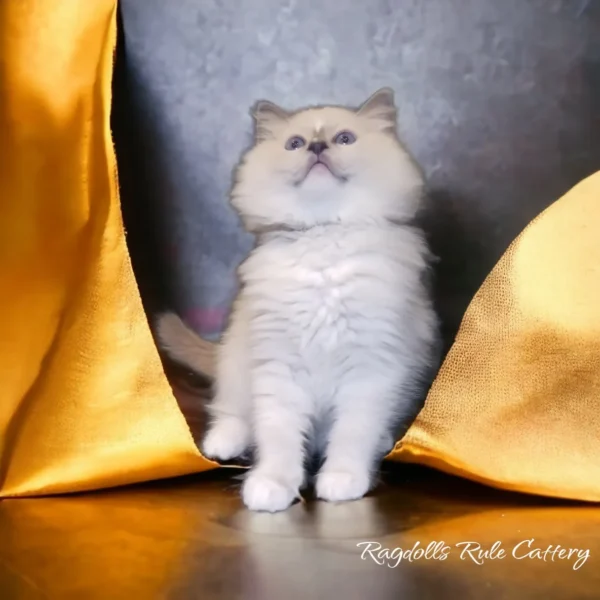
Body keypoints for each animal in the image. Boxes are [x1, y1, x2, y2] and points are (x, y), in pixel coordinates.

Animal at [158, 88, 440, 510]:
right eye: (295, 144)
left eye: (344, 139)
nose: (318, 146)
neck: (322, 240)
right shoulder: (279, 367)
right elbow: (279, 436)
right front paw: (271, 486)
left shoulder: (370, 370)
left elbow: (352, 434)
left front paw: (342, 480)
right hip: (237, 356)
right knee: (230, 411)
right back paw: (224, 443)